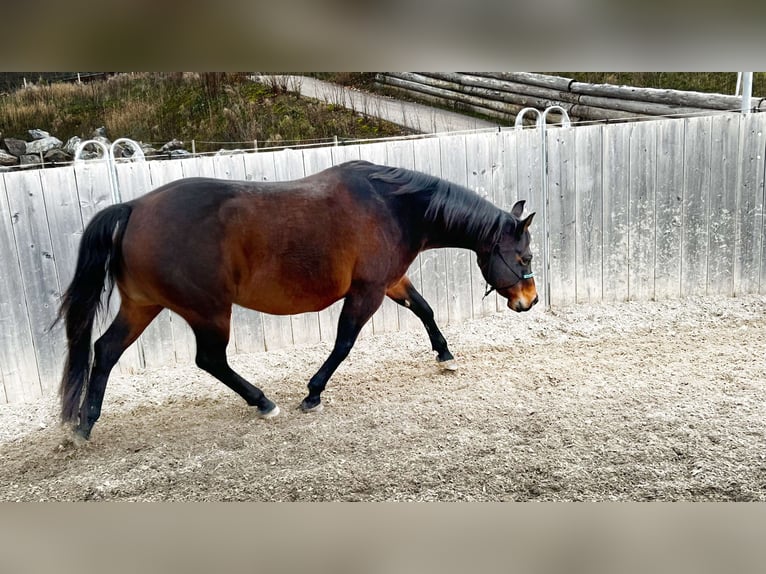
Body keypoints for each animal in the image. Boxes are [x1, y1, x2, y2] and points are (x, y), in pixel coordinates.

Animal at [57, 160, 540, 444]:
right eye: (525, 257)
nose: (531, 300)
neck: (392, 206)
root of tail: (134, 207)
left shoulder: (390, 281)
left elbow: (424, 309)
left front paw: (445, 355)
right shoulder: (367, 291)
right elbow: (344, 343)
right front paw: (312, 393)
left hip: (142, 304)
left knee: (105, 351)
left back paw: (85, 424)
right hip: (208, 311)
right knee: (210, 360)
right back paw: (262, 402)